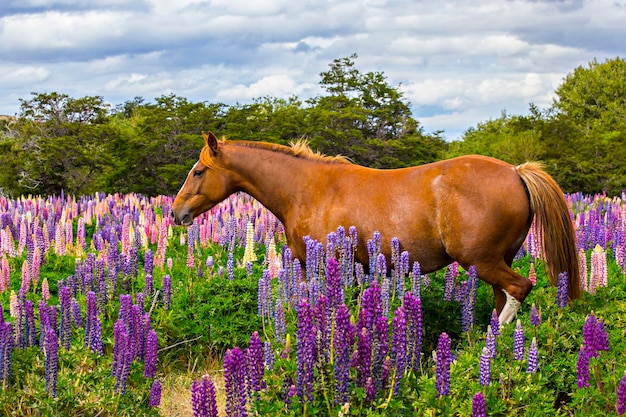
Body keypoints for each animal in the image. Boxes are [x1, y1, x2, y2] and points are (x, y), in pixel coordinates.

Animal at [172, 132, 580, 324]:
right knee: (503, 298)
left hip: (482, 261)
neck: (306, 189)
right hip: (494, 262)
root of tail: (516, 171)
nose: (176, 213)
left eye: (199, 171)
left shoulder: (326, 263)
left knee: (519, 289)